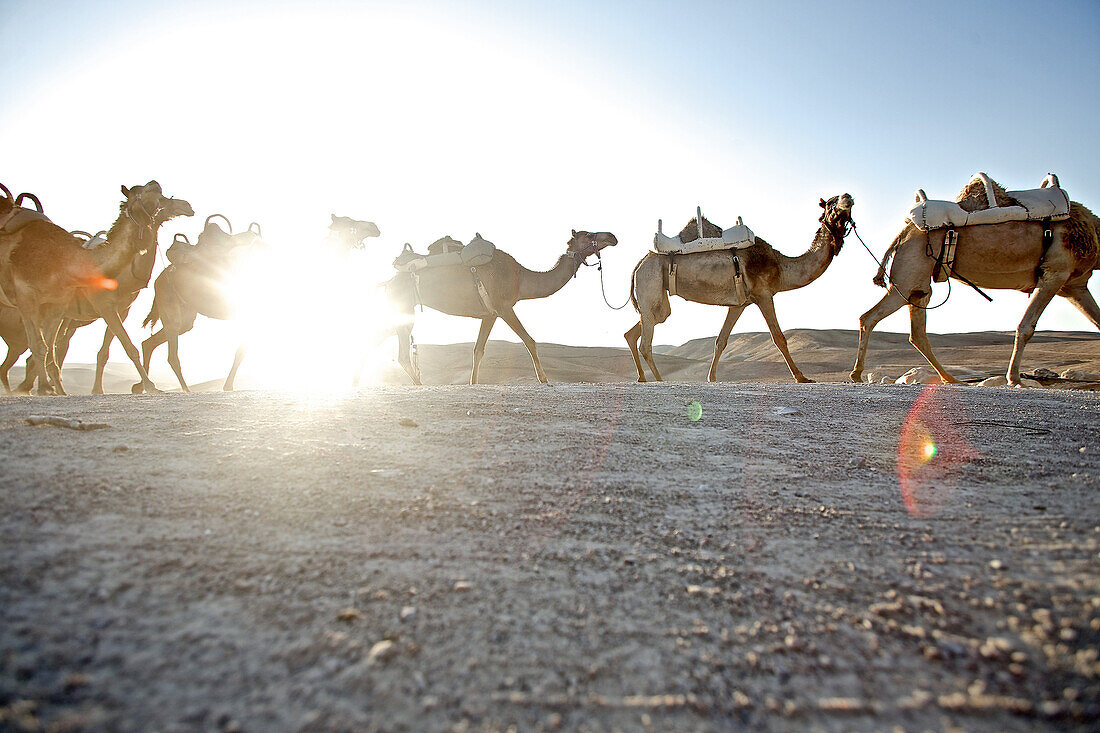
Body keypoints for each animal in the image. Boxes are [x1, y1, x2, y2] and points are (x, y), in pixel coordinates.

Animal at [0, 179, 193, 391]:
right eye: (157, 195)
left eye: (162, 193)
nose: (187, 206)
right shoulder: (102, 305)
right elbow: (128, 346)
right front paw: (149, 386)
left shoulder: (120, 309)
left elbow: (105, 352)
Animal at [382, 230, 616, 385]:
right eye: (588, 235)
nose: (612, 236)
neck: (520, 278)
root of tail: (389, 282)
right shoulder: (504, 307)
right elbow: (530, 341)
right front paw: (544, 378)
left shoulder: (490, 314)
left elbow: (478, 350)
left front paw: (473, 383)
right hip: (404, 308)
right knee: (401, 353)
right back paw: (418, 383)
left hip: (400, 310)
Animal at [624, 193, 853, 383]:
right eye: (831, 204)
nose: (848, 197)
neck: (780, 266)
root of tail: (639, 264)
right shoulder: (764, 294)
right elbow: (779, 337)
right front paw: (801, 377)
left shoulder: (740, 303)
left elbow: (721, 340)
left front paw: (712, 377)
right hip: (650, 282)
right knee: (646, 342)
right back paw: (659, 379)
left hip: (657, 298)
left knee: (639, 329)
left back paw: (643, 377)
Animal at [849, 174, 1100, 385]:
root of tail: (905, 230)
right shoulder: (1055, 273)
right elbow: (1026, 326)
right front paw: (1014, 378)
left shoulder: (1075, 285)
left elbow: (1097, 321)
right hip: (908, 275)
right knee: (870, 317)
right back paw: (857, 373)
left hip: (917, 284)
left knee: (916, 332)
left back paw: (949, 378)